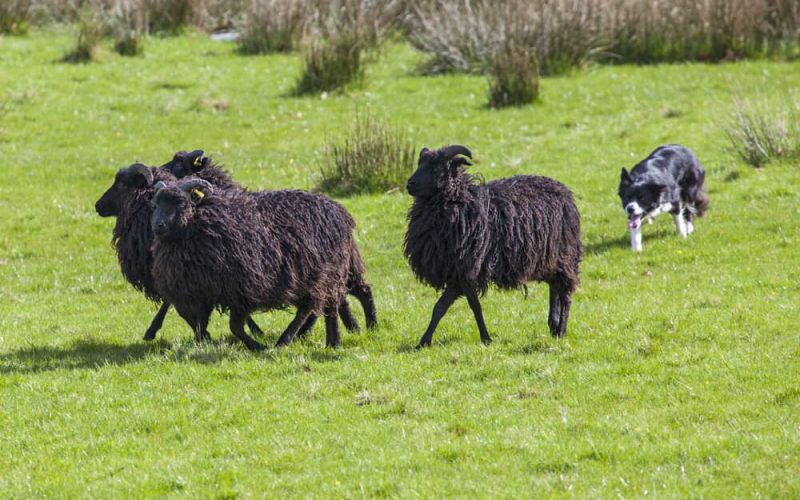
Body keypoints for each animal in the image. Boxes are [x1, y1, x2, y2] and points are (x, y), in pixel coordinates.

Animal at [148, 178, 364, 350]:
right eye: (156, 203)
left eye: (180, 203)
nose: (157, 225)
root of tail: (340, 211)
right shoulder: (204, 291)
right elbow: (201, 325)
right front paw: (205, 343)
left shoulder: (241, 290)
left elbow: (235, 327)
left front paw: (257, 346)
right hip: (311, 278)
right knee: (317, 306)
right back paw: (323, 341)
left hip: (323, 274)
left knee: (316, 307)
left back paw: (294, 340)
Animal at [406, 145, 580, 348]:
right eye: (420, 163)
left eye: (439, 166)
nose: (410, 184)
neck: (460, 202)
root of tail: (566, 192)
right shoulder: (461, 273)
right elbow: (472, 306)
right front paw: (485, 338)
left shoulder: (463, 271)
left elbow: (441, 306)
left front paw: (423, 341)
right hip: (548, 259)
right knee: (554, 286)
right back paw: (553, 324)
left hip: (565, 255)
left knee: (566, 292)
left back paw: (561, 330)